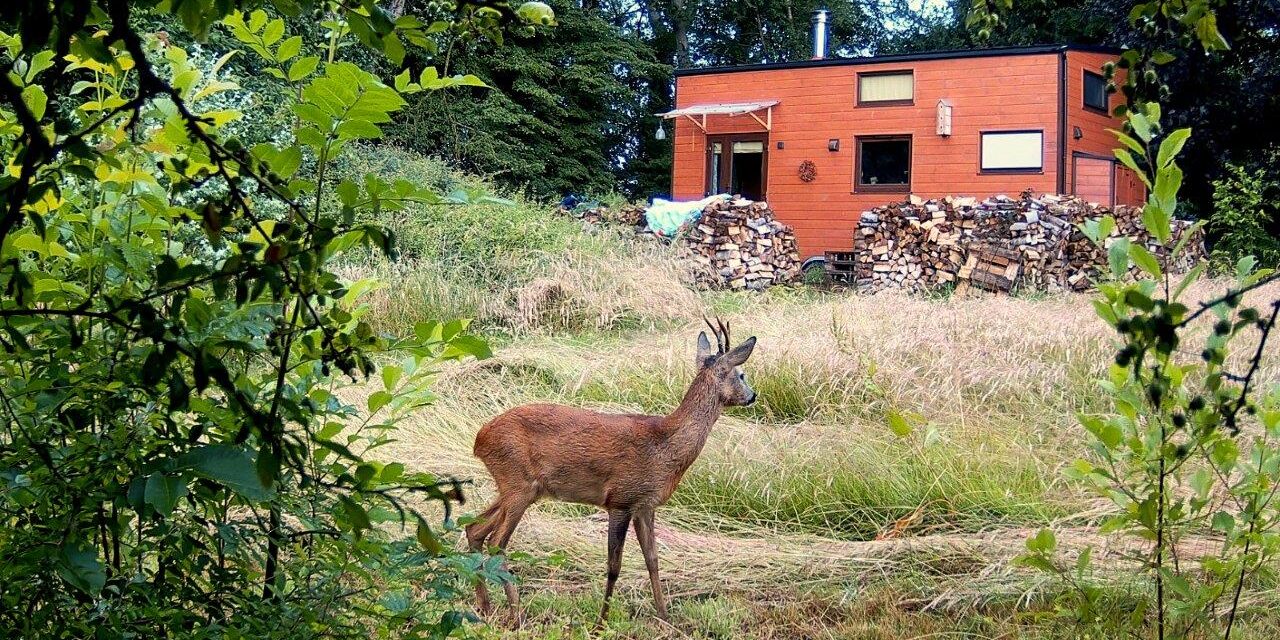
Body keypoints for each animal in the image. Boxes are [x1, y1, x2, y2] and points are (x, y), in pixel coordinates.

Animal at [465, 317, 752, 622]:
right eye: (741, 375)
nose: (753, 395)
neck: (665, 446)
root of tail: (480, 439)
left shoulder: (645, 505)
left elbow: (653, 560)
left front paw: (665, 615)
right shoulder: (620, 499)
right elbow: (614, 567)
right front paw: (601, 620)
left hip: (517, 487)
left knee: (475, 529)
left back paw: (485, 606)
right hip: (518, 482)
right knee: (497, 541)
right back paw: (515, 612)